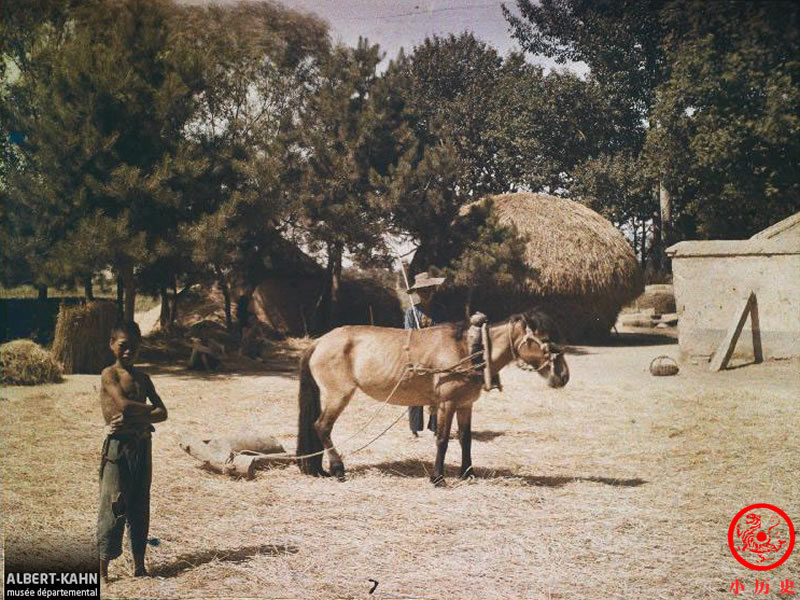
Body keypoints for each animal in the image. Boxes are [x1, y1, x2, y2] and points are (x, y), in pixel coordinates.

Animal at [296, 308, 568, 486]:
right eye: (545, 340)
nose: (563, 376)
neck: (469, 349)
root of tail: (320, 341)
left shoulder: (465, 405)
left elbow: (465, 440)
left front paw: (467, 473)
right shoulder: (447, 404)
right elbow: (443, 440)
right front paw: (438, 477)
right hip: (338, 394)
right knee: (322, 427)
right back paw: (338, 469)